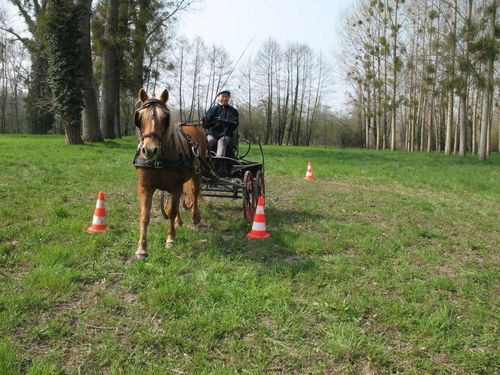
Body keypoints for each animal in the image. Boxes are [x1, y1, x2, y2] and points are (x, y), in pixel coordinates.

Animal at [132, 88, 208, 260]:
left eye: (165, 118)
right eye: (139, 117)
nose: (150, 150)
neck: (159, 159)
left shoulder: (175, 186)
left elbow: (171, 212)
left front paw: (170, 239)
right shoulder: (145, 187)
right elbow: (144, 216)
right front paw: (141, 249)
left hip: (198, 173)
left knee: (194, 193)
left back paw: (195, 217)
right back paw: (180, 222)